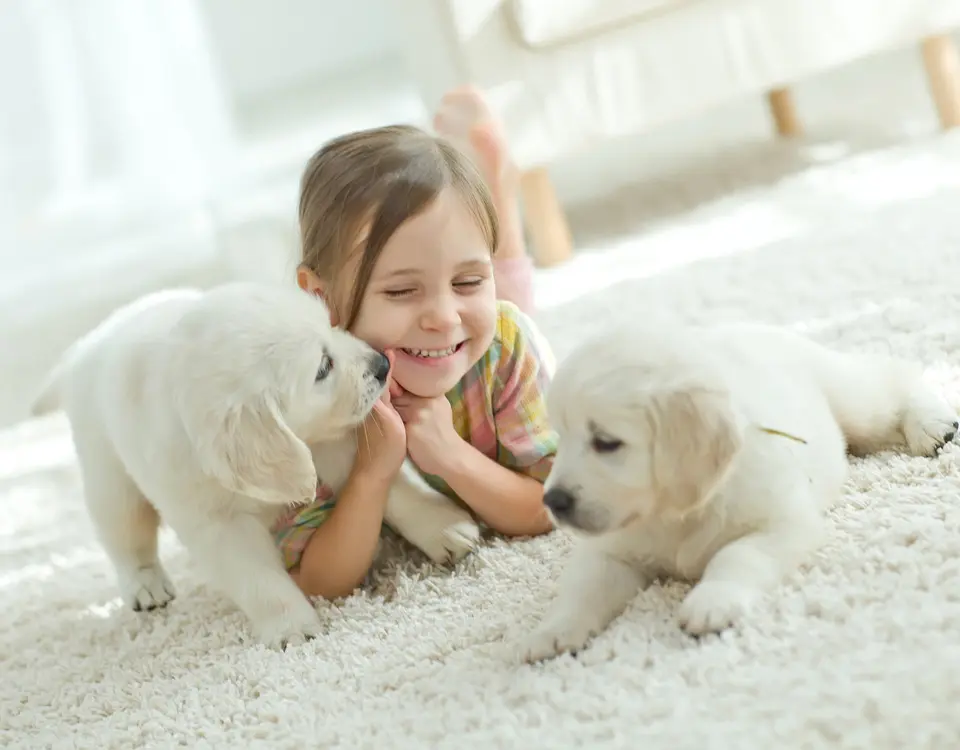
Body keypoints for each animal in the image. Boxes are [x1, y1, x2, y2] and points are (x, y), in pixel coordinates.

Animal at [520, 320, 956, 660]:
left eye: (606, 443)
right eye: (560, 437)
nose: (552, 501)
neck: (673, 512)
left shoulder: (784, 523)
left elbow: (737, 554)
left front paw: (712, 601)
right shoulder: (609, 550)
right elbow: (584, 588)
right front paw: (552, 630)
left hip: (852, 401)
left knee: (892, 378)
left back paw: (931, 424)